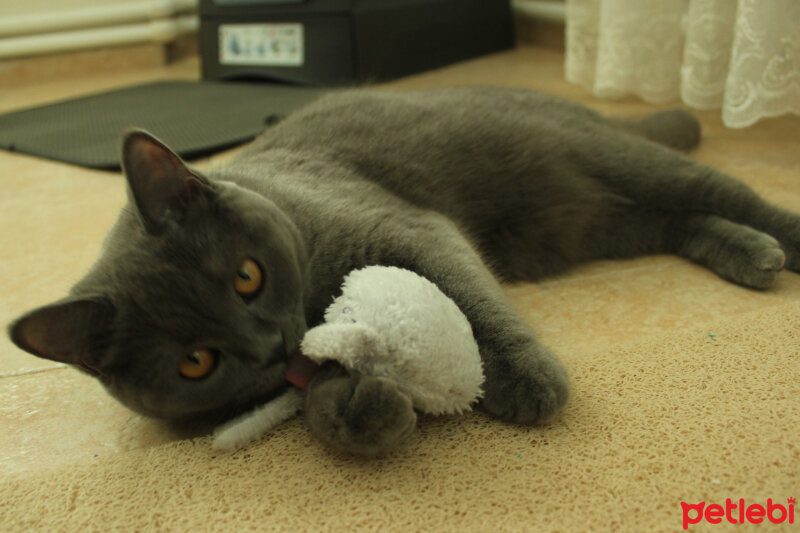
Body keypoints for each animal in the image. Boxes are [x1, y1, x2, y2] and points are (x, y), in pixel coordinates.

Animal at [7, 87, 800, 454]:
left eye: (247, 277)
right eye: (195, 362)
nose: (268, 346)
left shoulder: (401, 227)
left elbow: (473, 299)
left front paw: (527, 382)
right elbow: (329, 393)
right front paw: (363, 412)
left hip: (611, 160)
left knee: (724, 192)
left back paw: (781, 241)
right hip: (600, 220)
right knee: (681, 221)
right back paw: (752, 256)